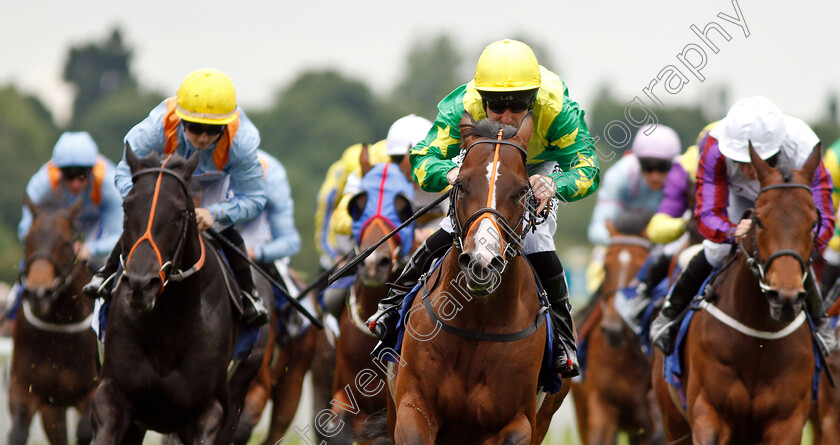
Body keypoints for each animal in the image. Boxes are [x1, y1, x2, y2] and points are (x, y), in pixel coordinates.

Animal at [9, 198, 97, 444]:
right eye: (27, 239)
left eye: (66, 243)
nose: (38, 293)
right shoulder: (26, 389)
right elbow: (18, 431)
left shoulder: (91, 391)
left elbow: (85, 431)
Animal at [92, 150, 270, 444]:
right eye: (127, 207)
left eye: (179, 214)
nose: (141, 284)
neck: (167, 325)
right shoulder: (112, 398)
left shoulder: (208, 412)